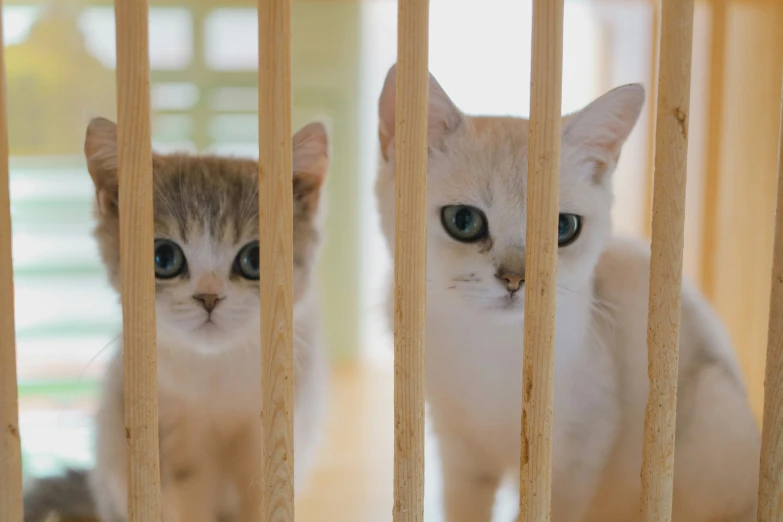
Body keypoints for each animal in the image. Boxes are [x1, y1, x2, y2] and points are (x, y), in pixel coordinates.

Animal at [376, 65, 764, 520]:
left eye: (563, 228)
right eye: (463, 220)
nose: (514, 279)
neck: (490, 350)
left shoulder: (577, 453)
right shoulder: (461, 453)